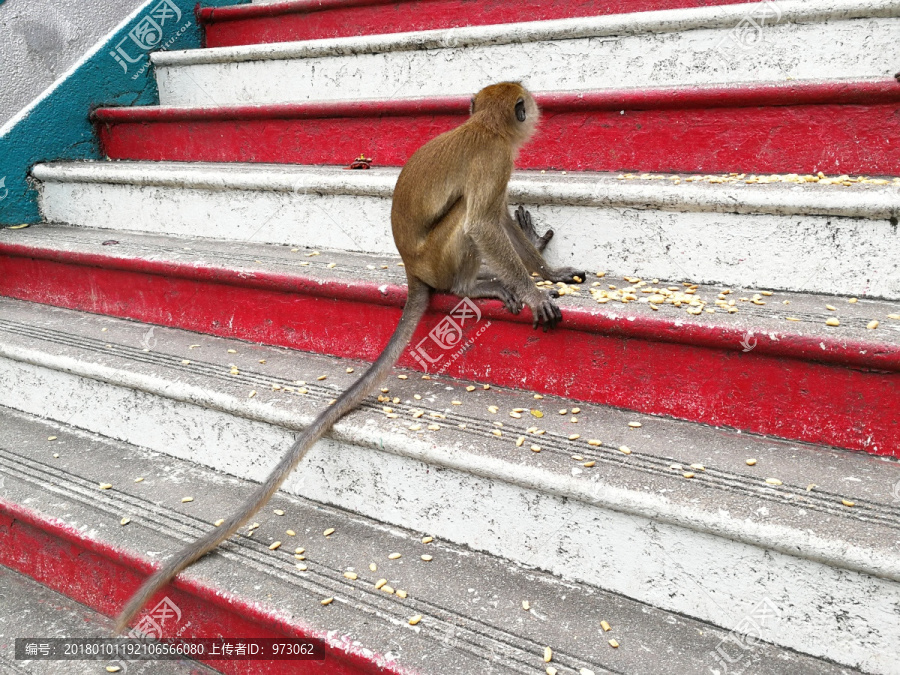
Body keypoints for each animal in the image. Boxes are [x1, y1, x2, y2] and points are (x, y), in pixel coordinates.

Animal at [114, 80, 584, 632]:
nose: (533, 111)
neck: (482, 128)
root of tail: (412, 270)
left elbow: (500, 221)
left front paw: (548, 270)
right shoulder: (494, 160)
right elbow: (485, 223)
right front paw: (532, 290)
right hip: (439, 256)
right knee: (466, 223)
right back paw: (476, 287)